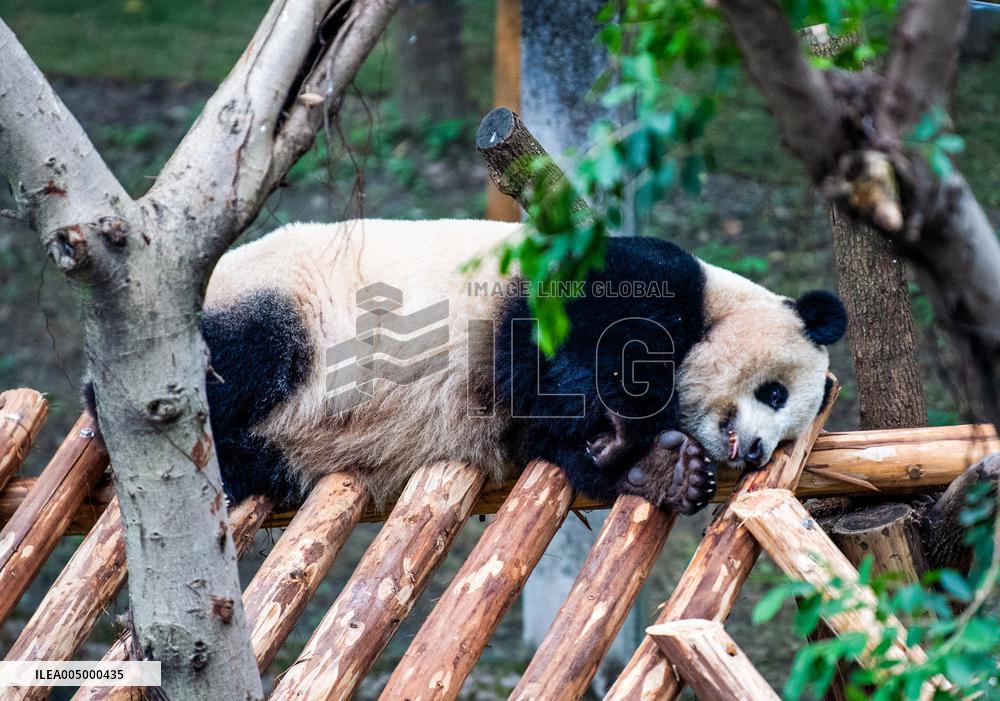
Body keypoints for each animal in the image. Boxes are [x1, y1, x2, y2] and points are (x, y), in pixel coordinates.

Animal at [87, 219, 846, 515]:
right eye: (774, 392)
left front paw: (663, 467)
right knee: (248, 352)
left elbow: (553, 441)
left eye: (788, 430)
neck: (716, 303)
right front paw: (624, 425)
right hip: (284, 300)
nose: (755, 452)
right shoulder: (624, 271)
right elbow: (560, 348)